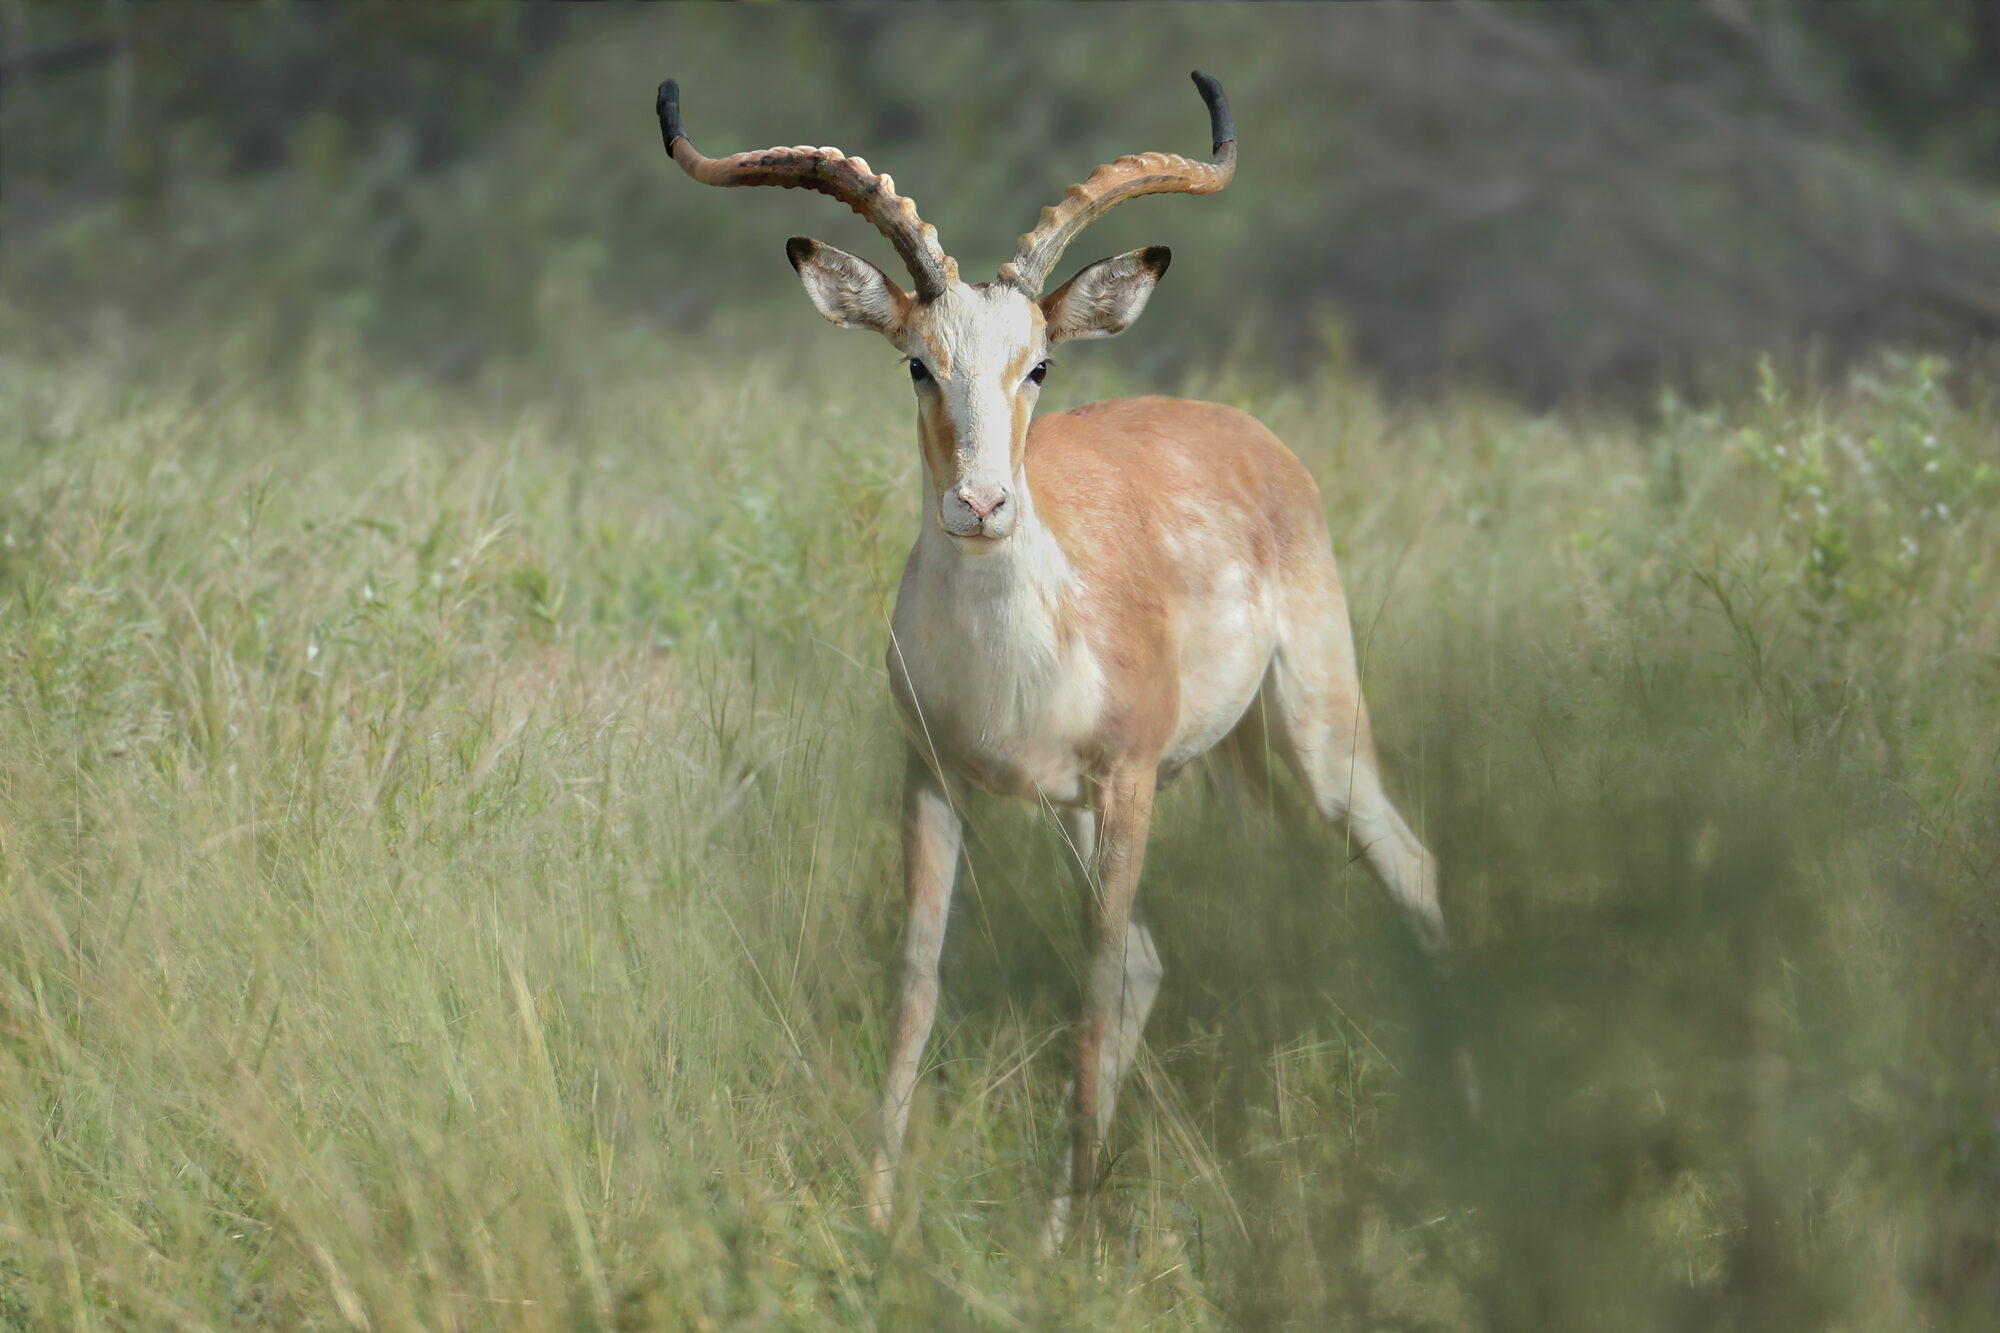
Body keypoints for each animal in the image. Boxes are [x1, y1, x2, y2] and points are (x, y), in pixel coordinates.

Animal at [656, 71, 1445, 1249]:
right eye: (917, 361)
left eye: (1038, 362)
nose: (981, 505)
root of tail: (1247, 433)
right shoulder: (933, 778)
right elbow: (917, 982)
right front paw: (878, 1213)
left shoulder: (1127, 783)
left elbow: (1088, 985)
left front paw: (1067, 1248)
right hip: (1102, 800)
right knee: (1156, 957)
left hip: (1314, 731)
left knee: (1407, 866)